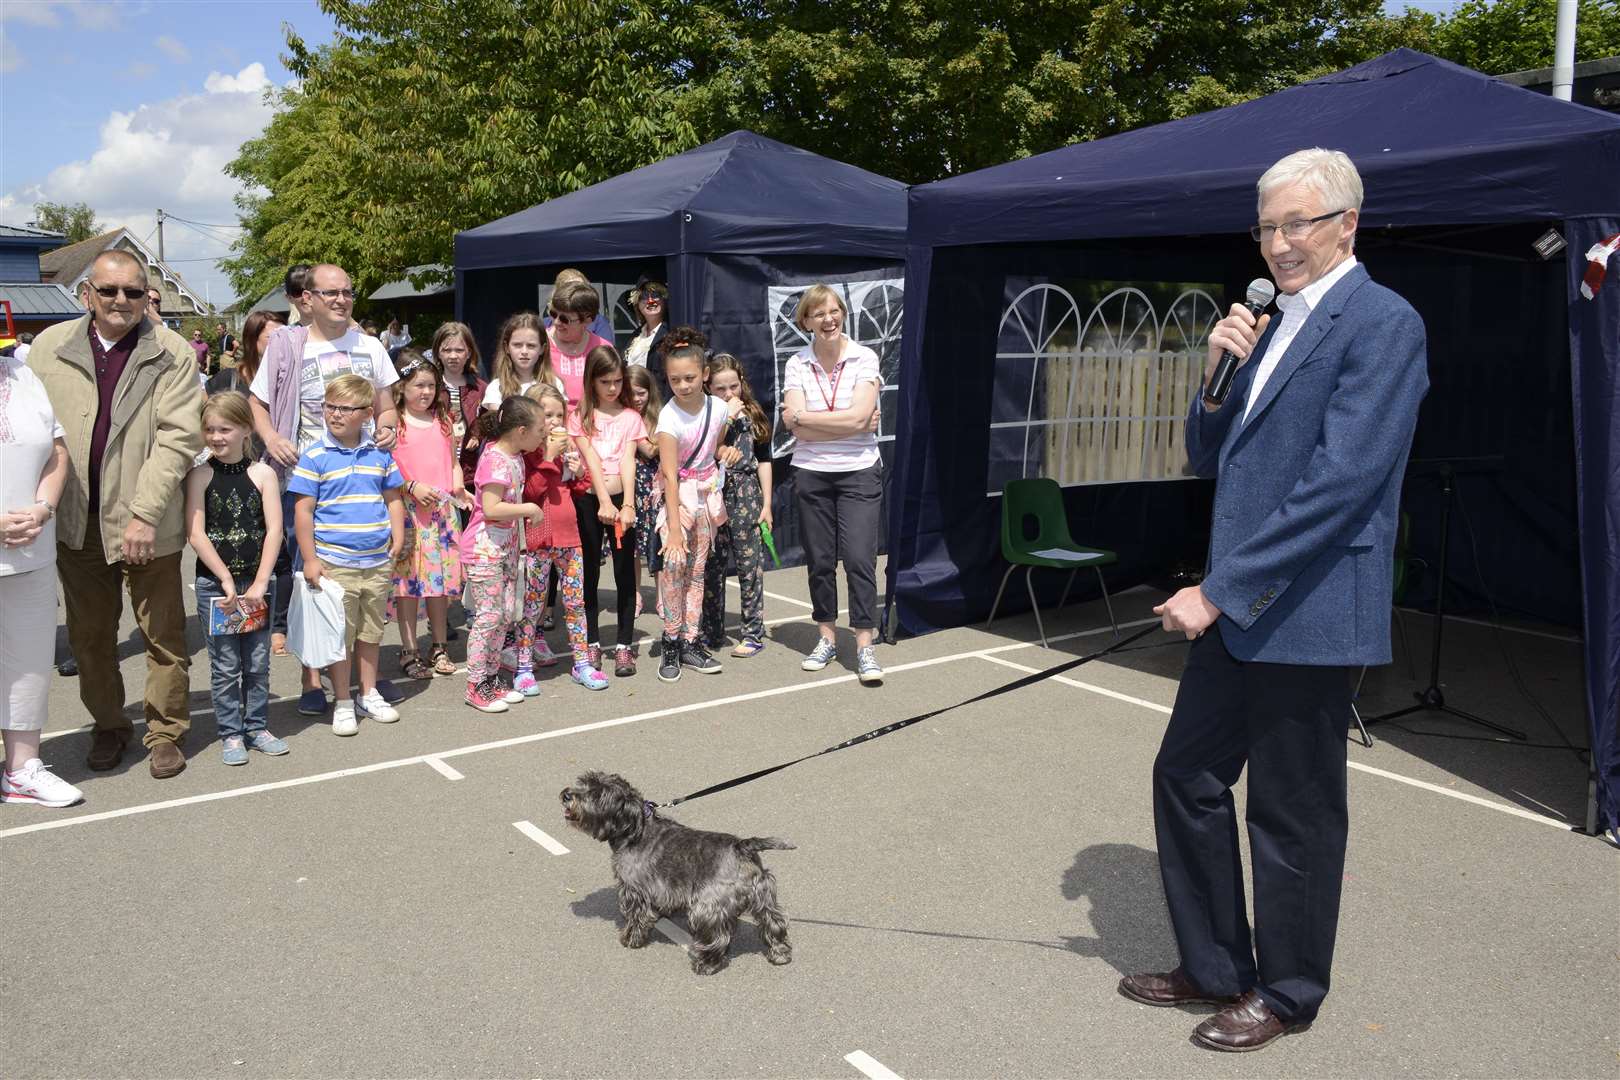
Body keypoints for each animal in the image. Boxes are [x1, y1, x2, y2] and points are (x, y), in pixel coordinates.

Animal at [560, 773, 793, 977]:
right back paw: (780, 955)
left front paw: (631, 940)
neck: (634, 828)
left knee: (718, 936)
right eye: (583, 782)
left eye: (597, 793)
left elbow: (637, 917)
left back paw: (706, 964)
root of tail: (742, 846)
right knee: (775, 924)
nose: (566, 794)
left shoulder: (634, 891)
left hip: (706, 907)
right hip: (764, 900)